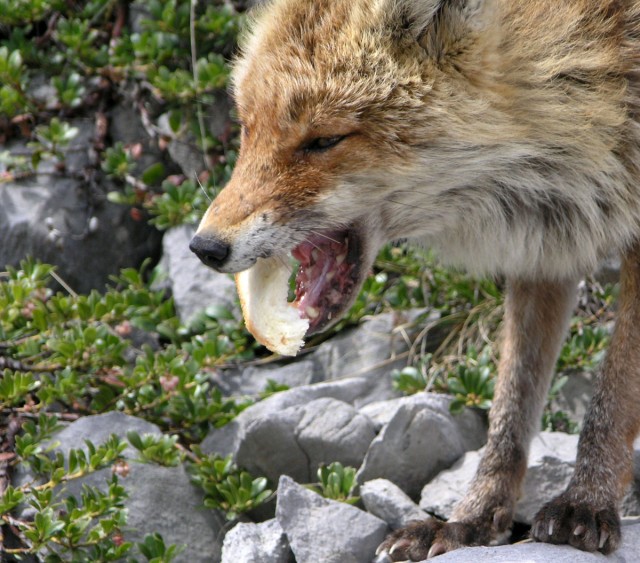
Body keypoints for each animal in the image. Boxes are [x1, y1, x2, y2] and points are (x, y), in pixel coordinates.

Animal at [190, 0, 640, 556]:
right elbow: (510, 409)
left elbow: (613, 395)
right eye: (249, 128)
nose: (205, 247)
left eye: (323, 140)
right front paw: (470, 521)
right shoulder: (548, 241)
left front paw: (587, 504)